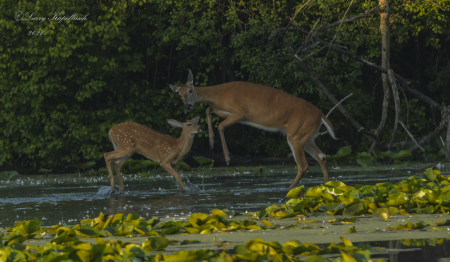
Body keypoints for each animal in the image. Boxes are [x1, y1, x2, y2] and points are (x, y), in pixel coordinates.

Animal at [170, 70, 338, 188]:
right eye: (179, 94)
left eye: (190, 90)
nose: (188, 106)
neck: (219, 96)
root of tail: (321, 115)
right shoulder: (222, 111)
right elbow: (208, 110)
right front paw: (211, 142)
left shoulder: (242, 112)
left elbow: (220, 125)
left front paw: (227, 158)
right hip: (306, 136)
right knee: (322, 157)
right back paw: (326, 186)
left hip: (296, 135)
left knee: (303, 165)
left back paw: (289, 189)